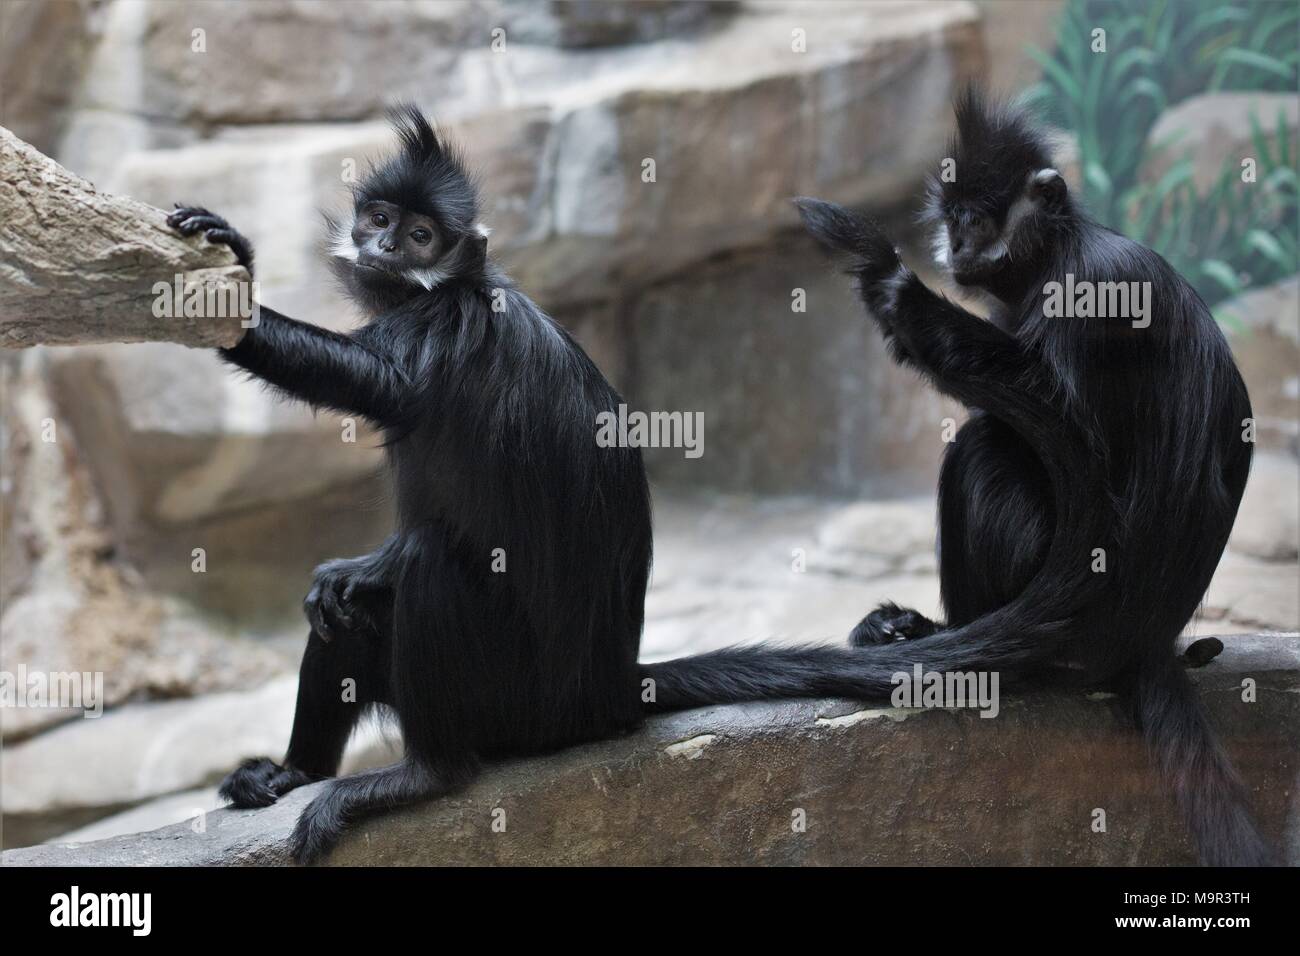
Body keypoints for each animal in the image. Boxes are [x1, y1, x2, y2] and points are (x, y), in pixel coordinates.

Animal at [791, 88, 1269, 866]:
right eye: (951, 220)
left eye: (977, 221)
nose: (954, 249)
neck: (1054, 255)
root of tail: (1144, 641)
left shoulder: (1096, 287)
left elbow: (1064, 424)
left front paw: (891, 283)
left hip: (1077, 604)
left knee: (984, 448)